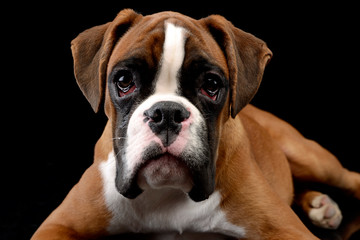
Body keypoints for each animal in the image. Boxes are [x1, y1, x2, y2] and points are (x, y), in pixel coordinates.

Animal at [32, 9, 358, 240]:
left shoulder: (289, 231)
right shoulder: (57, 226)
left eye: (211, 85)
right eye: (124, 81)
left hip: (311, 158)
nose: (166, 113)